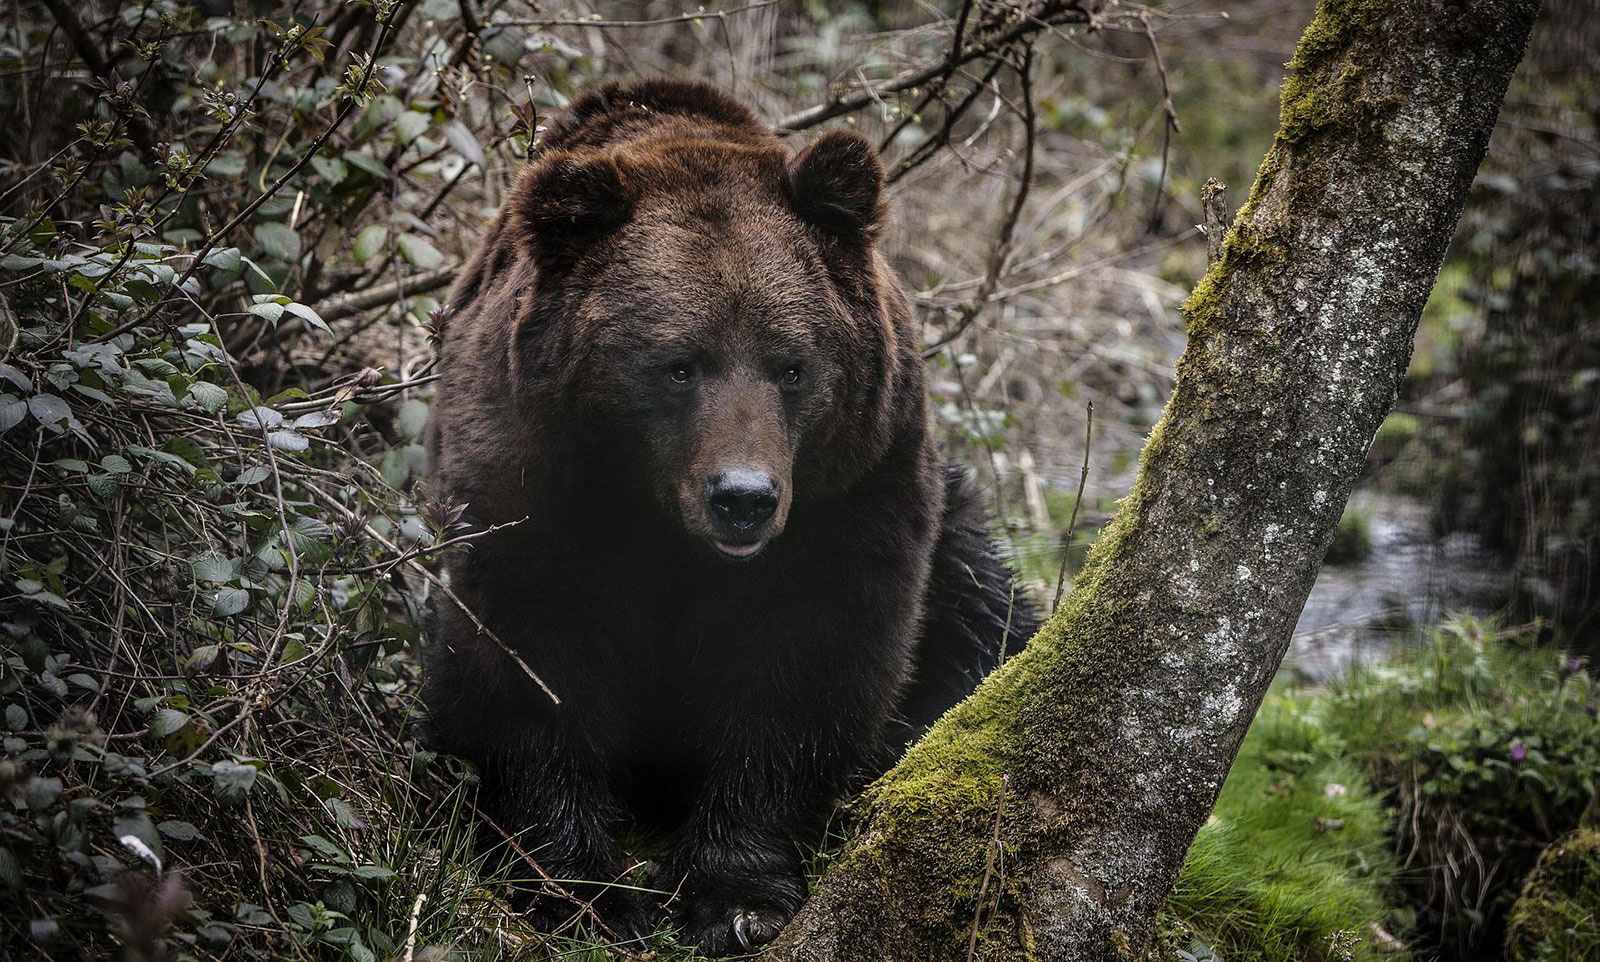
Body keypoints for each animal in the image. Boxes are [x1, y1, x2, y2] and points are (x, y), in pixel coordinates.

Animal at [421, 79, 1036, 955]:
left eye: (792, 366)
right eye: (679, 365)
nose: (742, 497)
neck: (658, 518)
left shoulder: (851, 494)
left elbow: (806, 665)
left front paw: (733, 898)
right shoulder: (530, 481)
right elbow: (529, 660)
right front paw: (580, 889)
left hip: (950, 539)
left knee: (987, 619)